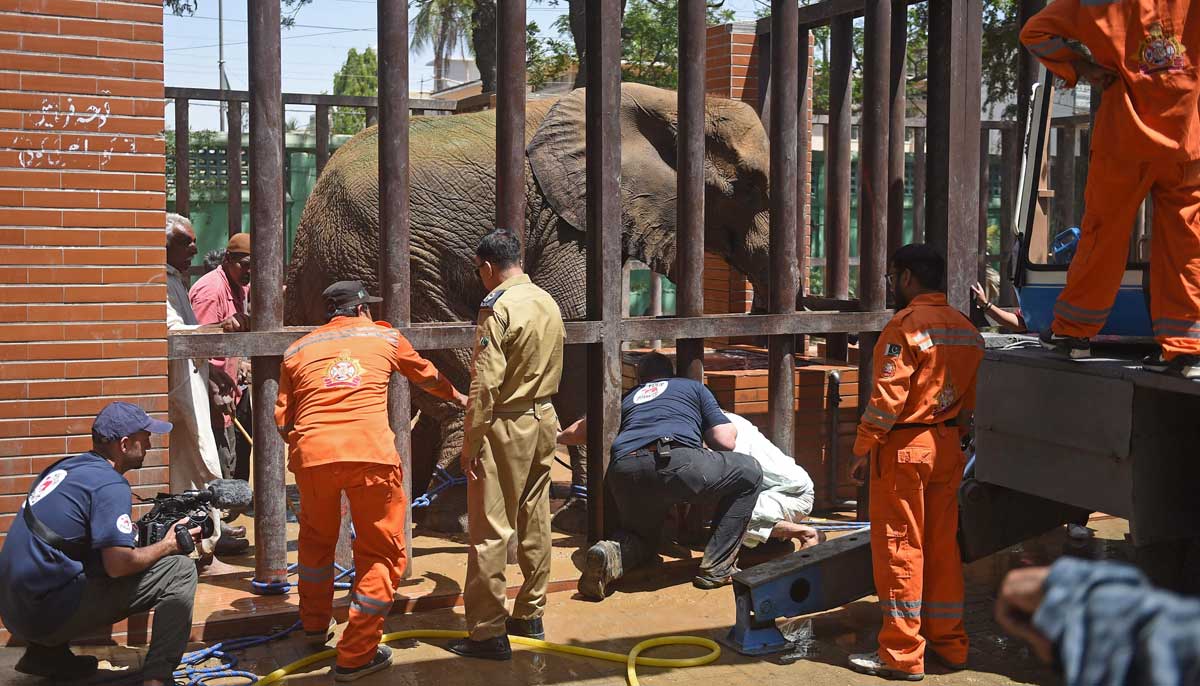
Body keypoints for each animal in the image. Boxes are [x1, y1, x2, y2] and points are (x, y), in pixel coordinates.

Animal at [284, 83, 772, 532]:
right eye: (749, 185)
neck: (660, 100)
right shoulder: (567, 223)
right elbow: (574, 335)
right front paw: (581, 513)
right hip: (384, 257)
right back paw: (455, 514)